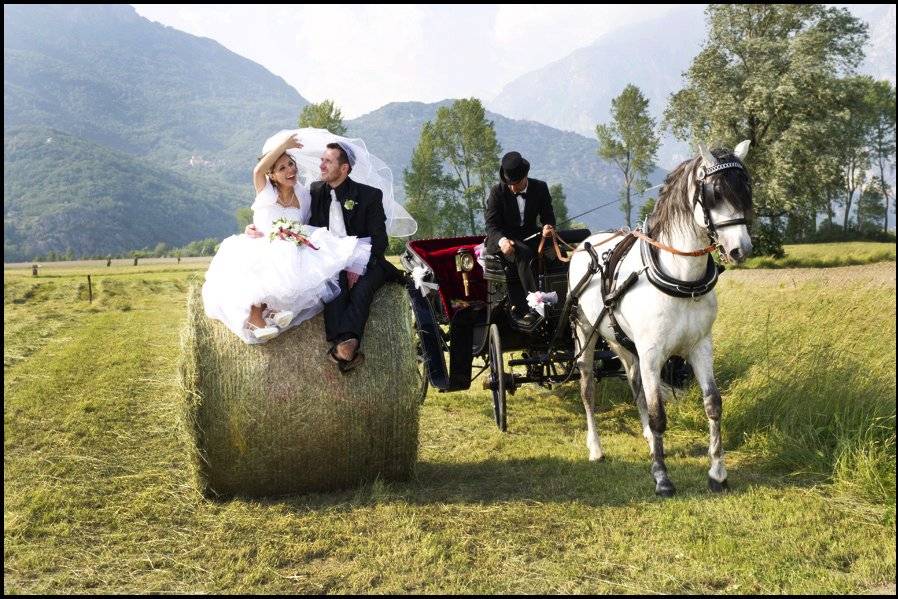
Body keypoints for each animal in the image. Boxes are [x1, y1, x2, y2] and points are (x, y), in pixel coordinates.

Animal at [572, 142, 752, 496]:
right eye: (716, 193)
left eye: (747, 189)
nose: (742, 249)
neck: (681, 278)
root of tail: (585, 244)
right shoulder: (652, 352)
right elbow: (658, 414)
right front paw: (662, 477)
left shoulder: (700, 347)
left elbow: (713, 404)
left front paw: (718, 473)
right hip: (586, 333)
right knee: (588, 389)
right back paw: (595, 448)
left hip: (624, 341)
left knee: (634, 380)